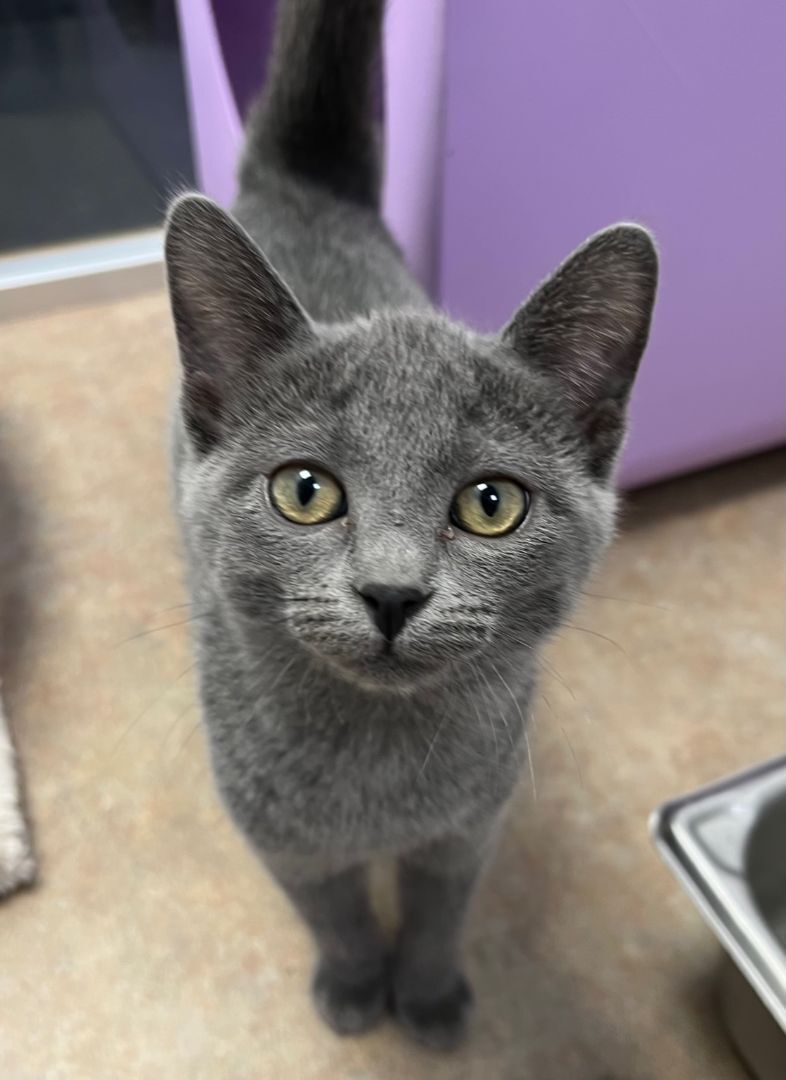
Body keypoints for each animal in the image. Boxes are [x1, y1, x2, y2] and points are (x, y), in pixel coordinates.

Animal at [166, 0, 656, 1049]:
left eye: (491, 504)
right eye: (305, 491)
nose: (391, 592)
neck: (382, 768)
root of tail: (305, 182)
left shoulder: (470, 828)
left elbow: (439, 914)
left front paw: (428, 1000)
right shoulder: (284, 842)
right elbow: (339, 914)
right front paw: (356, 990)